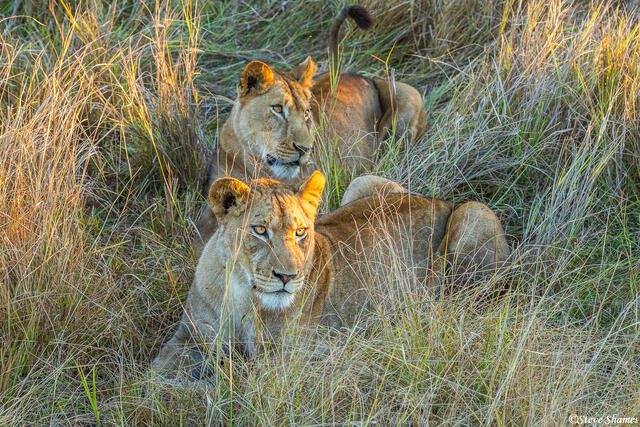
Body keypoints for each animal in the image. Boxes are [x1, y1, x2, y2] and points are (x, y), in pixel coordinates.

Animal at [153, 172, 510, 376]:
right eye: (259, 230)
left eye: (301, 232)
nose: (288, 277)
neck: (241, 290)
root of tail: (445, 201)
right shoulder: (190, 334)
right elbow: (155, 372)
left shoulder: (287, 360)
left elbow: (239, 376)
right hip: (367, 182)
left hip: (473, 215)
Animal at [195, 5, 426, 248]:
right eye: (277, 109)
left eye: (306, 112)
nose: (305, 149)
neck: (255, 163)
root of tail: (348, 72)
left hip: (407, 95)